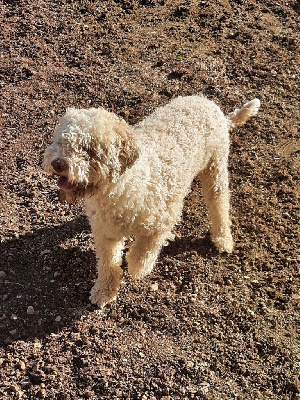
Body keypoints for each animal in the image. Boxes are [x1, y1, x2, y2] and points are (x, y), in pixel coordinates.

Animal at [42, 95, 260, 308]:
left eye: (88, 149)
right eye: (60, 142)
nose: (57, 163)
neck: (120, 189)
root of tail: (212, 105)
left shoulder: (164, 218)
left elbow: (143, 251)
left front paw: (137, 267)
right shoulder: (105, 232)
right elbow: (107, 263)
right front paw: (104, 291)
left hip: (216, 167)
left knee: (219, 203)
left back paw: (223, 239)